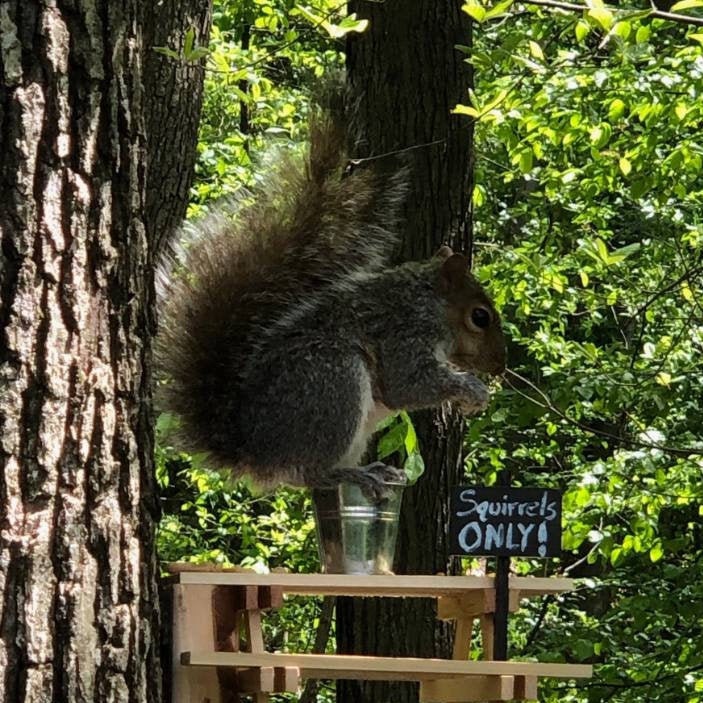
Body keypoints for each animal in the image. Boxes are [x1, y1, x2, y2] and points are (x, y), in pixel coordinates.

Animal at [156, 105, 506, 500]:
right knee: (307, 473)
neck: (428, 300)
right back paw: (354, 475)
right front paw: (472, 389)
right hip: (334, 382)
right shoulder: (404, 331)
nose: (500, 366)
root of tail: (253, 450)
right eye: (480, 317)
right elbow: (409, 384)